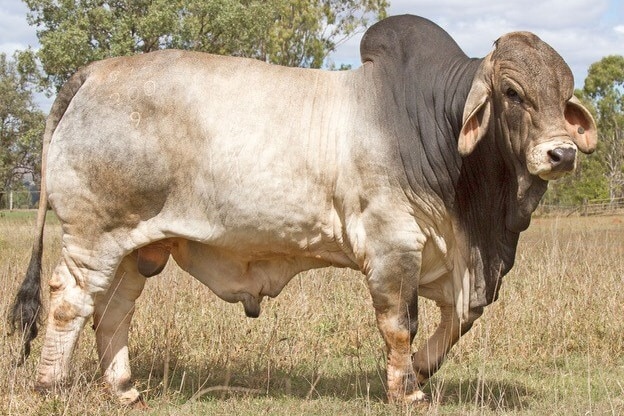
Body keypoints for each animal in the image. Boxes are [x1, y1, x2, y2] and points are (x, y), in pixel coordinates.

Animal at [9, 15, 596, 406]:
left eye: (565, 92)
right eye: (512, 92)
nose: (562, 154)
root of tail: (95, 71)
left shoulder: (453, 262)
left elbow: (459, 320)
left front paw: (422, 371)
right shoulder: (393, 244)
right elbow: (400, 323)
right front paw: (406, 391)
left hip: (136, 246)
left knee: (113, 310)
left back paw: (125, 390)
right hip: (94, 234)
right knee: (69, 301)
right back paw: (50, 385)